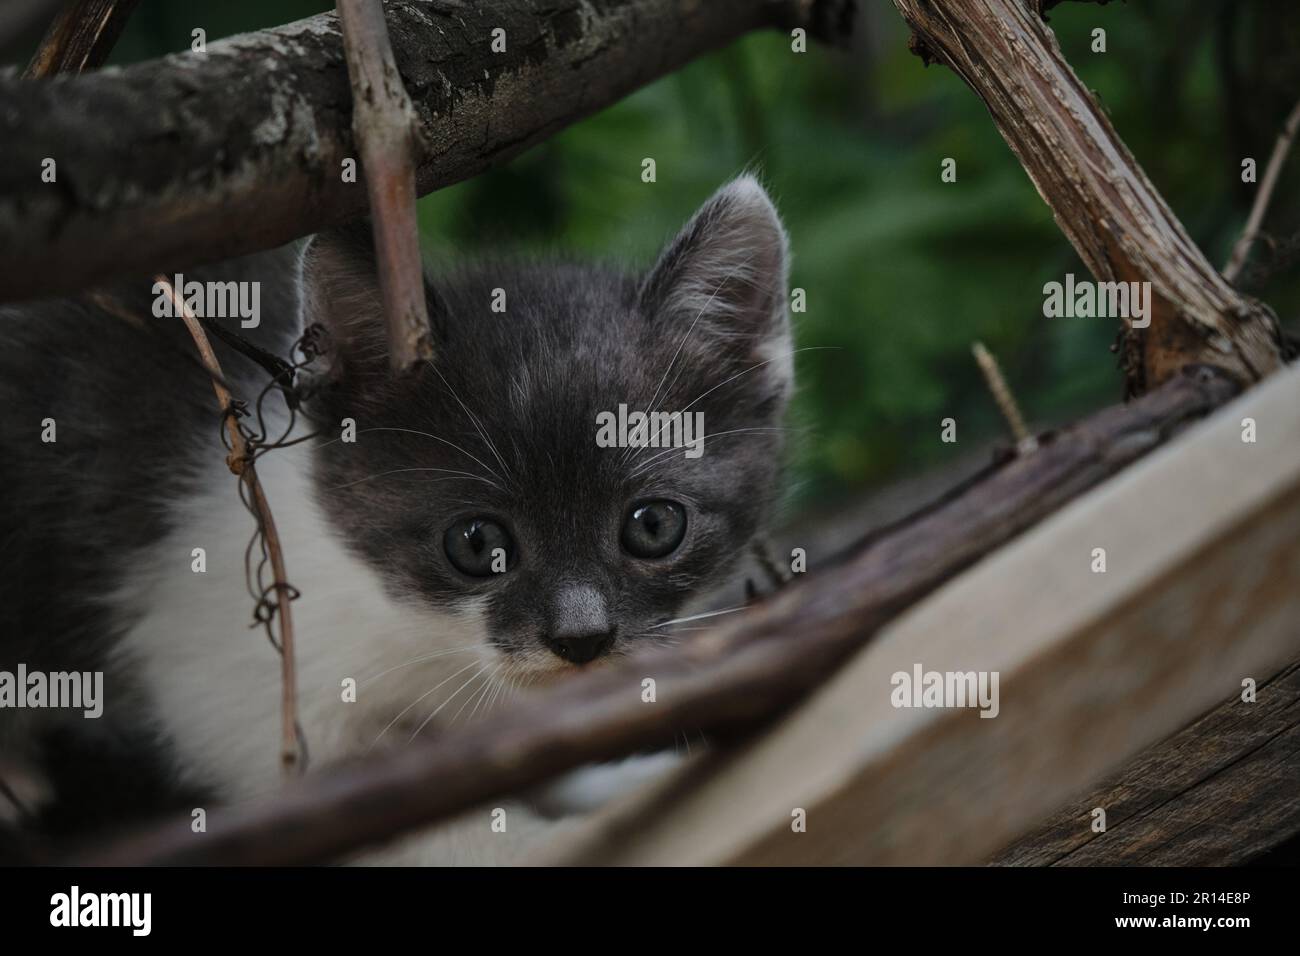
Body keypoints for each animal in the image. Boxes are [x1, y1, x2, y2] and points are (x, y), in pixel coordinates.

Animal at [0, 174, 790, 868]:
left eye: (652, 526)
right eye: (476, 542)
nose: (581, 639)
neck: (417, 631)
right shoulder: (231, 674)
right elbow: (401, 819)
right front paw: (564, 828)